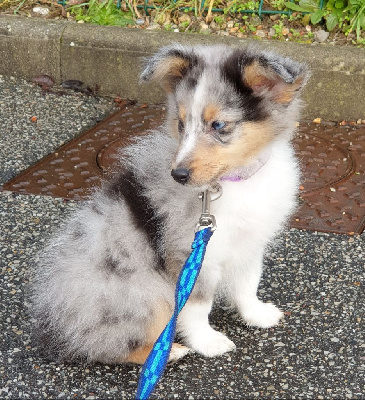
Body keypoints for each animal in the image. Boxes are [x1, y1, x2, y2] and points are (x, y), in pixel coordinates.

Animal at [32, 45, 308, 364]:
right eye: (180, 124)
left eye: (218, 125)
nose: (178, 175)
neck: (234, 181)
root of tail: (60, 327)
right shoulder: (190, 255)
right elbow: (197, 306)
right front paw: (208, 342)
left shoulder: (249, 244)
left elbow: (248, 283)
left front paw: (256, 314)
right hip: (144, 292)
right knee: (110, 346)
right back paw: (167, 351)